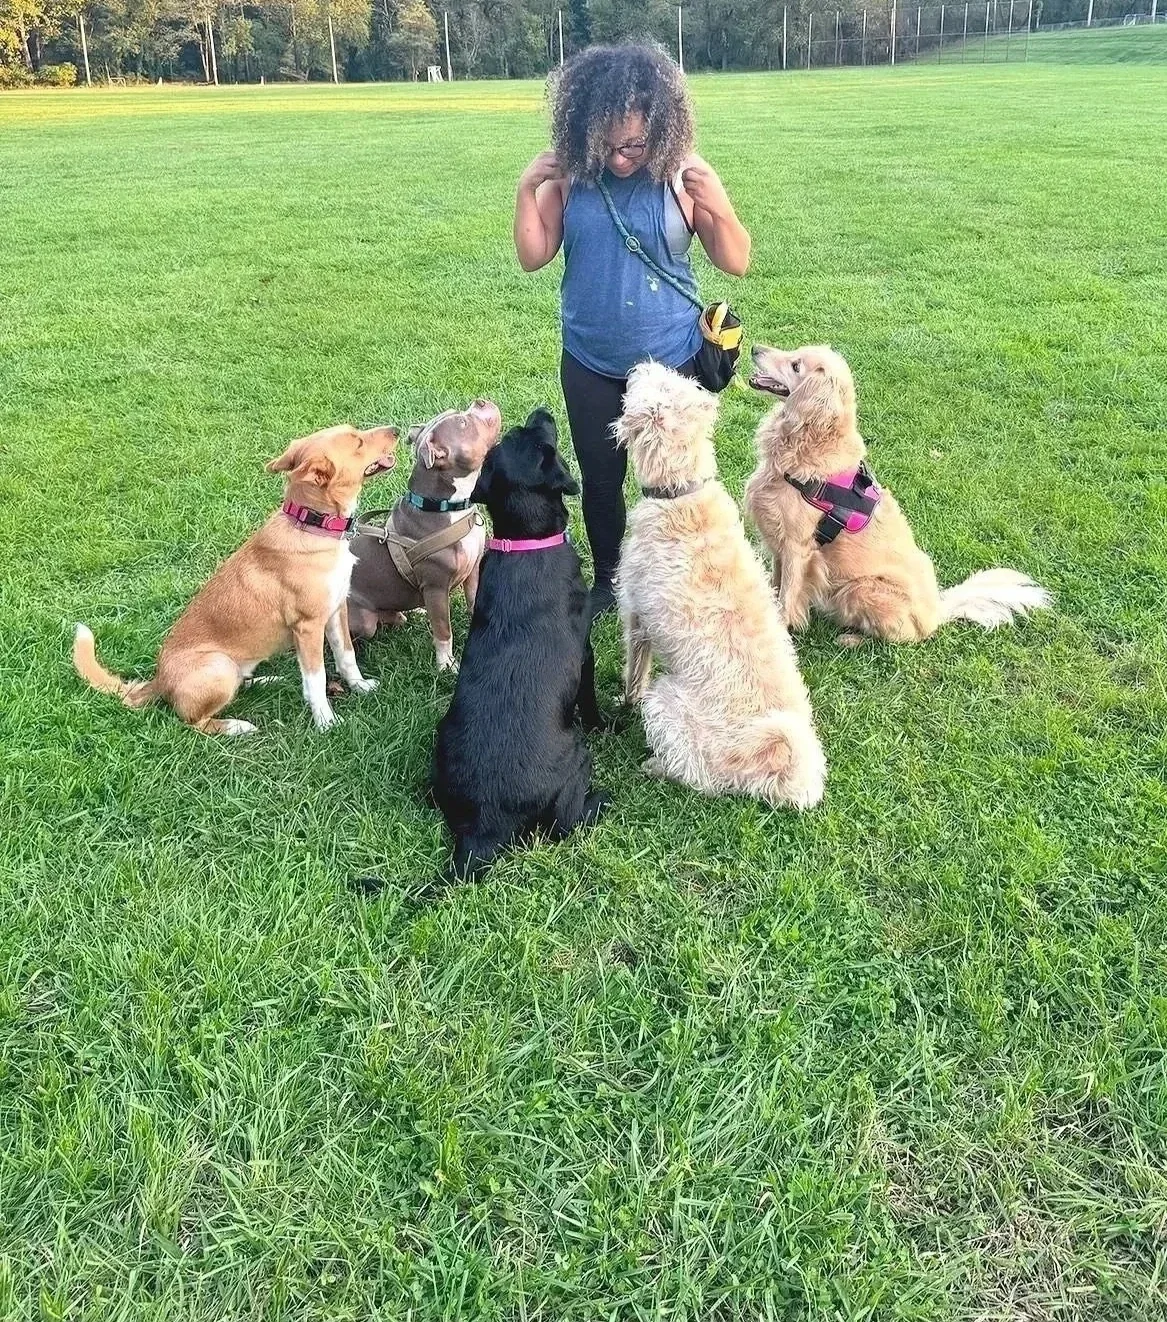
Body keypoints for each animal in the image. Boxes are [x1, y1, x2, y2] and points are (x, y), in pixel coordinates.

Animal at [73, 423, 399, 735]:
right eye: (358, 442)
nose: (396, 430)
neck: (311, 525)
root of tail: (158, 681)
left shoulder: (336, 611)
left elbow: (347, 656)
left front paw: (360, 687)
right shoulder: (308, 626)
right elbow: (316, 681)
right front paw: (326, 722)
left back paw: (267, 680)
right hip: (219, 666)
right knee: (194, 722)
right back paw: (236, 726)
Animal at [347, 399, 502, 671]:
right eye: (464, 423)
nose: (480, 401)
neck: (447, 507)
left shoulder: (473, 570)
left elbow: (474, 600)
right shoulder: (436, 587)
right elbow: (443, 630)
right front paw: (446, 665)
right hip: (362, 621)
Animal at [431, 408, 609, 880]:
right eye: (532, 435)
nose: (542, 411)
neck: (527, 541)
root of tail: (485, 825)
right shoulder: (585, 655)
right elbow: (591, 701)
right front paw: (607, 723)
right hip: (577, 760)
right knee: (566, 823)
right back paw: (601, 801)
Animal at [615, 362, 826, 810]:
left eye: (655, 384)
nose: (639, 364)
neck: (680, 495)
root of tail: (771, 763)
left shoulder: (635, 614)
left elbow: (634, 671)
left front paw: (624, 700)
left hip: (666, 701)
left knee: (694, 774)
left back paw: (655, 766)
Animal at [746, 345, 1051, 645]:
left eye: (796, 365)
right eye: (794, 351)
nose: (755, 348)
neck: (810, 441)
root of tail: (937, 613)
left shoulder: (798, 549)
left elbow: (788, 598)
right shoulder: (779, 543)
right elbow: (775, 586)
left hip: (861, 589)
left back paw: (851, 639)